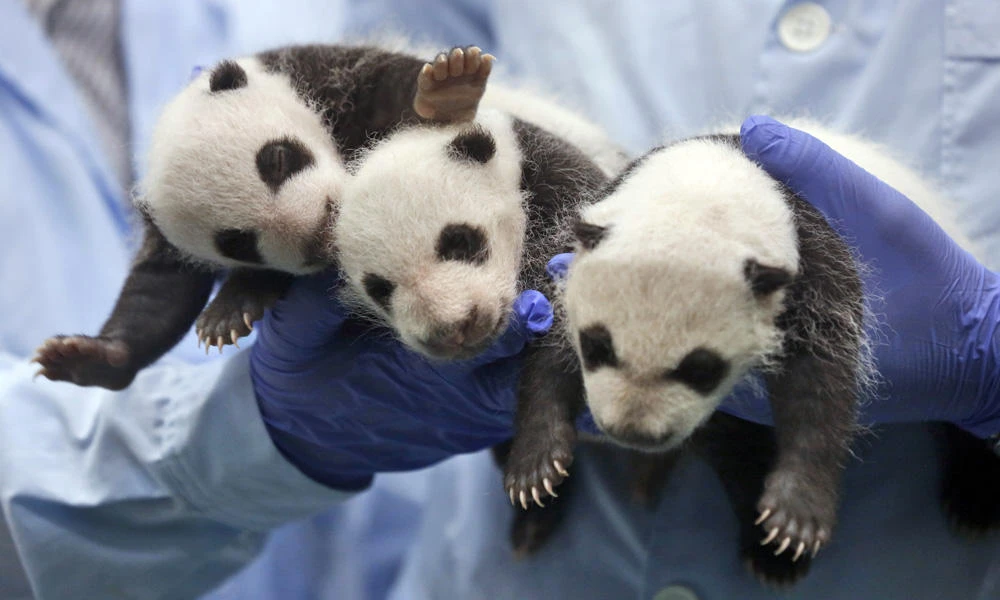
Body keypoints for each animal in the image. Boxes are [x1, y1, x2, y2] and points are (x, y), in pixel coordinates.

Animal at [32, 43, 627, 391]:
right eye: (236, 241)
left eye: (276, 159)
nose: (315, 231)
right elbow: (160, 293)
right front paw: (88, 356)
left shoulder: (324, 75)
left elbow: (403, 96)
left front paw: (447, 89)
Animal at [560, 121, 1000, 584]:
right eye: (595, 347)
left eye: (702, 370)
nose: (634, 433)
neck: (705, 181)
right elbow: (731, 442)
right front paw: (770, 547)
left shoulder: (813, 256)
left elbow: (820, 382)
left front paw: (796, 514)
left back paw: (975, 497)